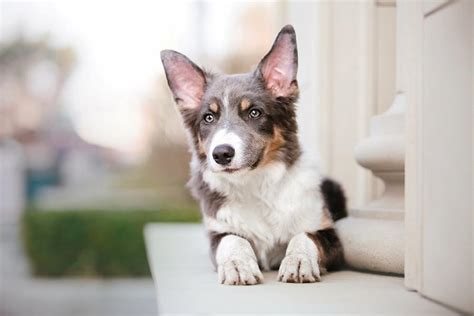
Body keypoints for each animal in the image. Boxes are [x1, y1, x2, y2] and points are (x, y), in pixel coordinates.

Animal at [161, 24, 346, 286]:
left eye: (254, 112)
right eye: (209, 117)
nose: (222, 154)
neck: (256, 184)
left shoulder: (329, 234)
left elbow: (305, 236)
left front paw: (298, 260)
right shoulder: (218, 233)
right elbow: (233, 240)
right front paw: (237, 265)